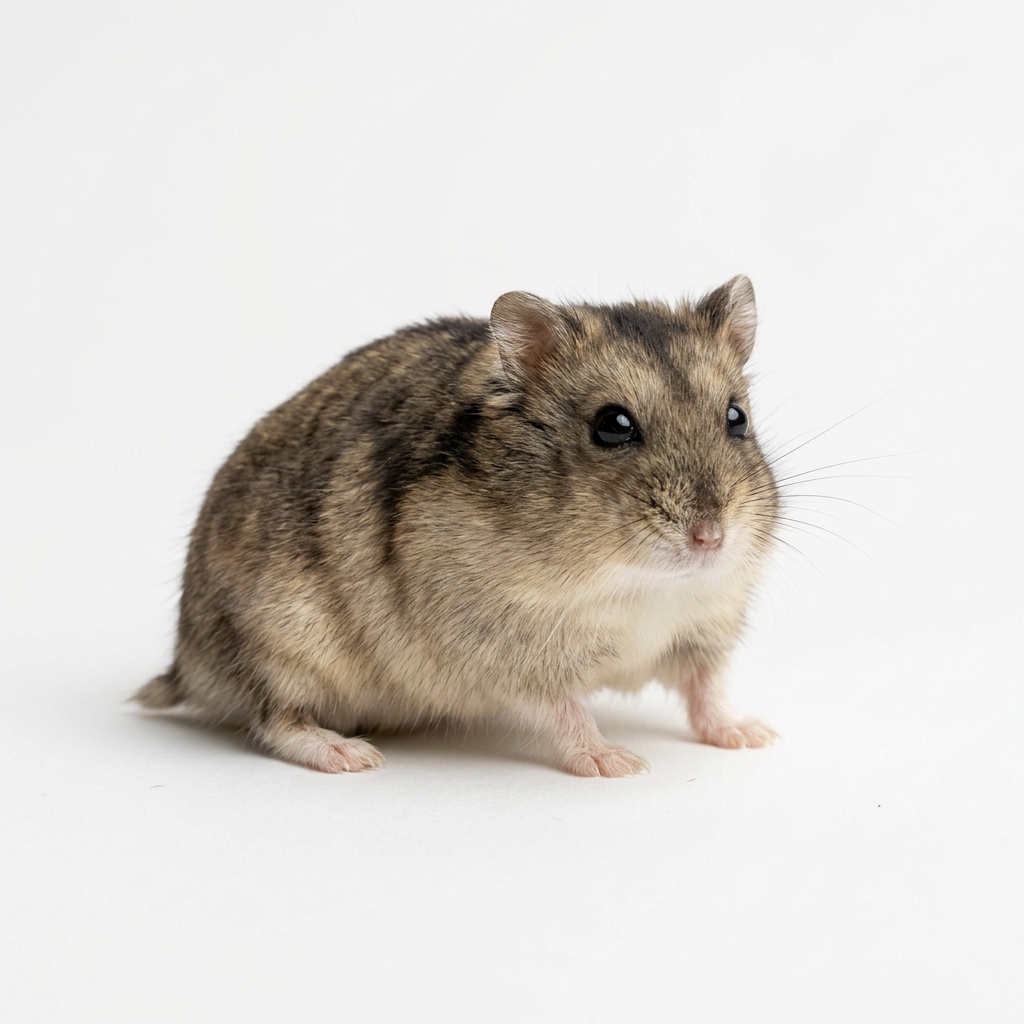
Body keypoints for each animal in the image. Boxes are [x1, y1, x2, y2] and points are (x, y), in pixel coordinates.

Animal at [135, 276, 780, 776]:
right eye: (613, 425)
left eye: (736, 417)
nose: (710, 538)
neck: (639, 582)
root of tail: (186, 664)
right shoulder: (504, 648)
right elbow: (564, 708)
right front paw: (617, 762)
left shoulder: (704, 628)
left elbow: (706, 689)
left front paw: (754, 735)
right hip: (281, 645)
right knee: (275, 717)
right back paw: (351, 755)